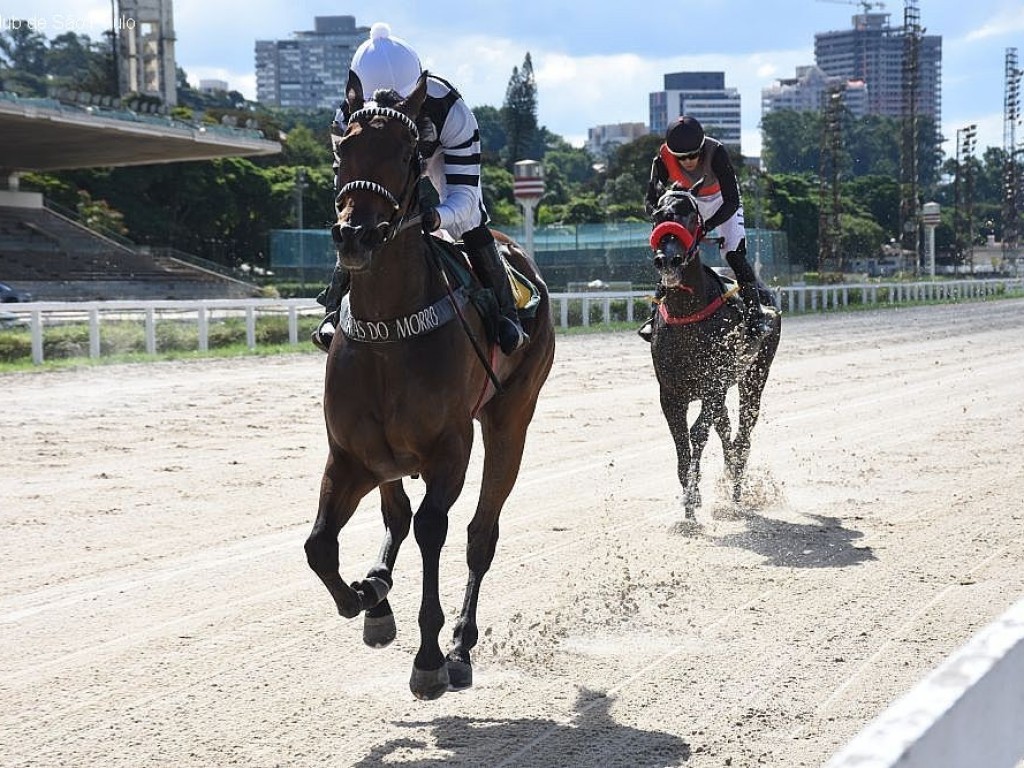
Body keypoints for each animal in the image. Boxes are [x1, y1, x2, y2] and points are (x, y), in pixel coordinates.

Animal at [303, 73, 557, 704]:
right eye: (341, 151)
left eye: (408, 153)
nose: (356, 234)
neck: (389, 333)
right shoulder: (349, 455)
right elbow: (320, 546)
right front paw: (366, 597)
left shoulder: (450, 451)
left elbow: (433, 529)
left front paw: (430, 656)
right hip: (385, 458)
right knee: (394, 515)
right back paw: (378, 592)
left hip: (510, 422)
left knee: (480, 534)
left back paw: (462, 646)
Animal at [647, 188, 782, 520]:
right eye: (657, 215)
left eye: (691, 216)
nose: (668, 259)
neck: (688, 313)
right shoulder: (670, 393)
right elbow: (681, 441)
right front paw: (690, 497)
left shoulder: (713, 385)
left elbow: (697, 434)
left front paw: (693, 495)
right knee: (726, 428)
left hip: (755, 375)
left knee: (745, 429)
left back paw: (737, 487)